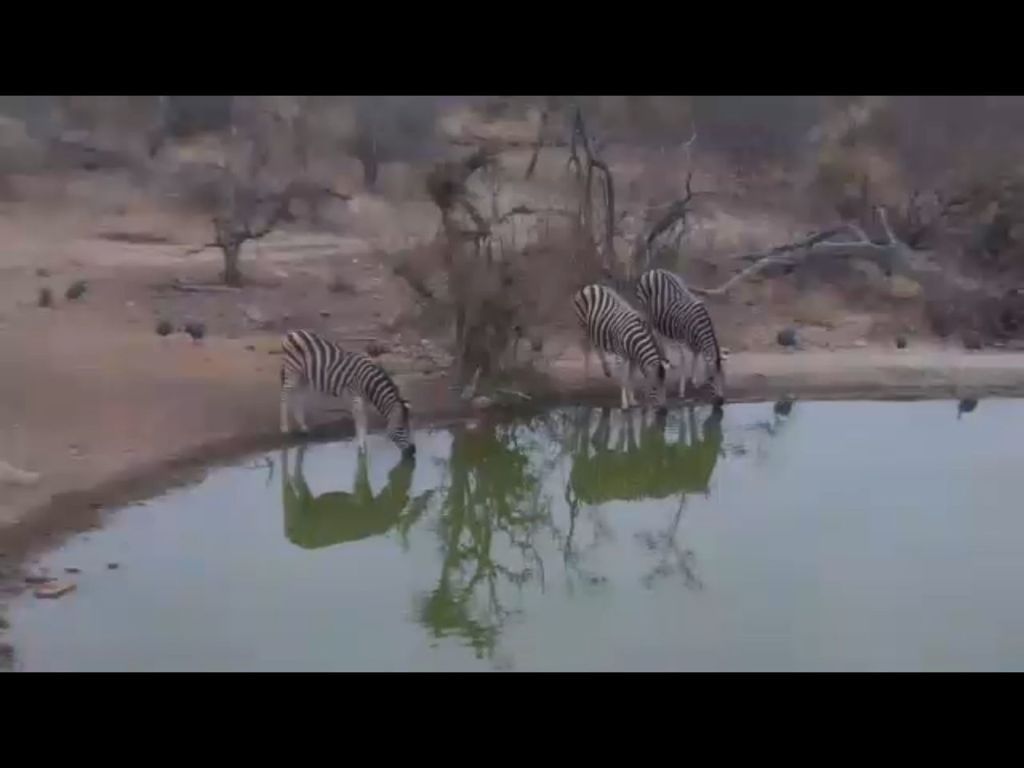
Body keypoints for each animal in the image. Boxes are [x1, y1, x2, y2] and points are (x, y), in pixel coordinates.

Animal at [280, 329, 415, 459]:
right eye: (401, 428)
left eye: (410, 427)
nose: (413, 451)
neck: (369, 384)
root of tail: (292, 333)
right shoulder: (356, 398)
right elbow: (360, 422)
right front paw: (361, 447)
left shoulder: (363, 401)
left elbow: (364, 421)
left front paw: (364, 444)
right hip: (292, 370)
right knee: (285, 396)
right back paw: (284, 428)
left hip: (302, 375)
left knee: (298, 396)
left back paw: (303, 427)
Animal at [636, 268, 725, 407]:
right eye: (712, 378)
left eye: (723, 377)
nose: (721, 401)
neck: (700, 325)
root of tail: (654, 270)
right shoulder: (683, 341)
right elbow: (684, 360)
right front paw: (682, 391)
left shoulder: (695, 344)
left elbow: (695, 356)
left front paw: (694, 380)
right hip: (645, 310)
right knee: (653, 332)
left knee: (660, 334)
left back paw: (666, 358)